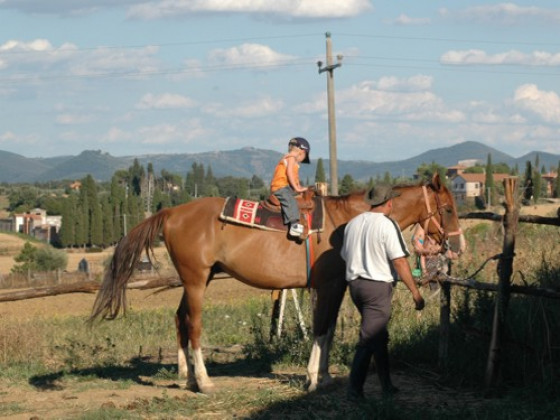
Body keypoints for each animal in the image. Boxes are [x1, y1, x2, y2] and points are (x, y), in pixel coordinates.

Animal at [88, 172, 464, 392]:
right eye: (447, 209)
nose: (457, 245)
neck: (347, 220)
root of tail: (171, 213)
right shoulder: (327, 286)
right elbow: (320, 328)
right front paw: (312, 378)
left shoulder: (337, 287)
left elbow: (328, 329)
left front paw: (325, 375)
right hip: (195, 280)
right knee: (193, 324)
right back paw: (205, 381)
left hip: (197, 279)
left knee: (179, 318)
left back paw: (187, 377)